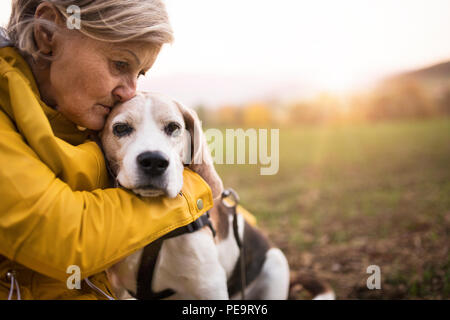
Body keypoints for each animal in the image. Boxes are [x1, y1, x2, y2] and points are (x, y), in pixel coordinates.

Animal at [100, 92, 326, 300]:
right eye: (120, 128)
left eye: (173, 127)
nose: (154, 161)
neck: (155, 224)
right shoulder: (118, 288)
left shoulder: (210, 285)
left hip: (275, 264)